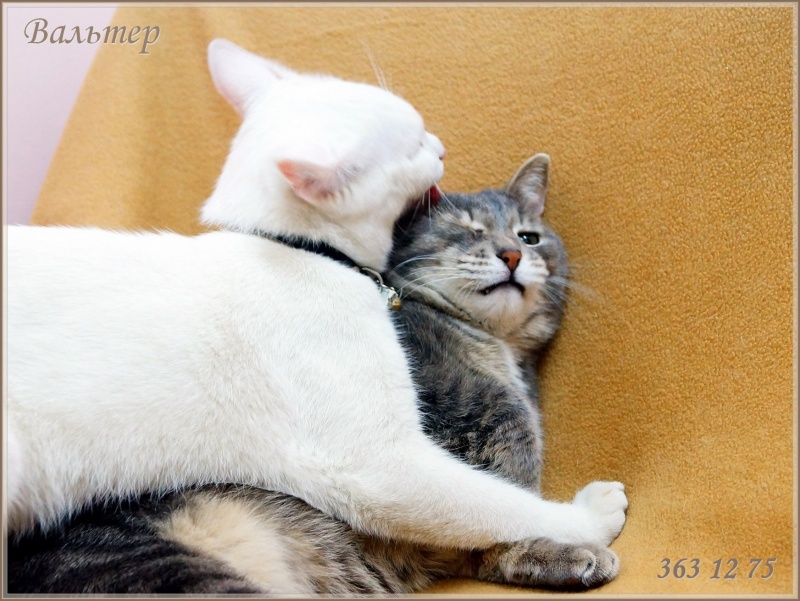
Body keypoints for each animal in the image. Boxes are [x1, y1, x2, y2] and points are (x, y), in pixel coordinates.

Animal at [6, 39, 627, 551]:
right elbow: (501, 505)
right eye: (413, 144)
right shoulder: (377, 466)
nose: (442, 145)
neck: (298, 249)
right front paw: (585, 517)